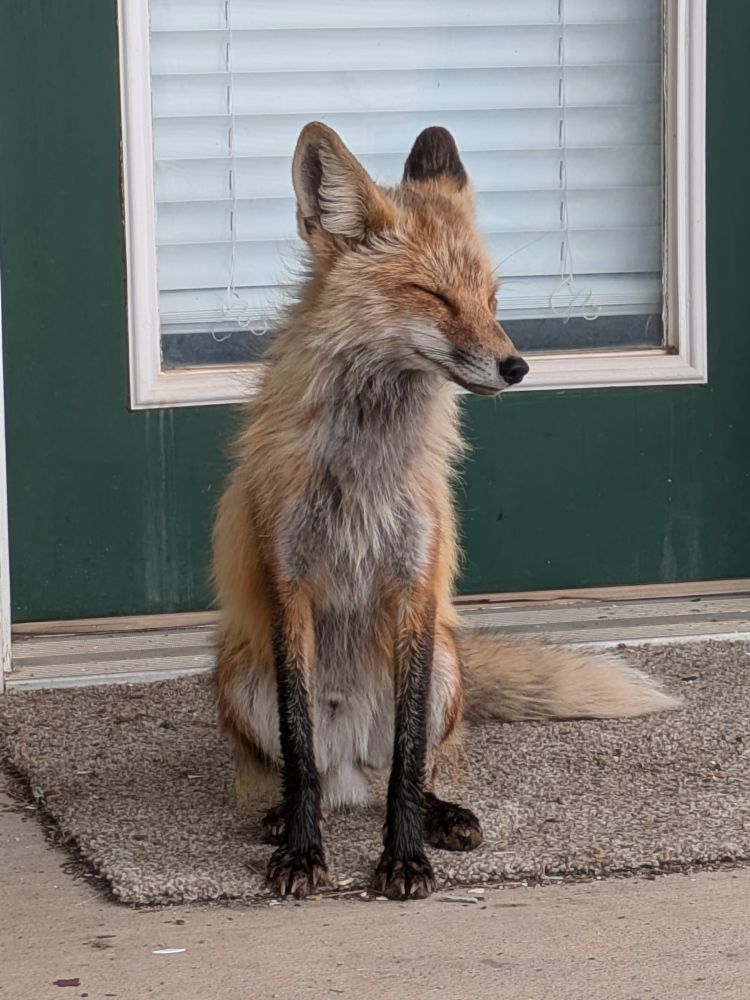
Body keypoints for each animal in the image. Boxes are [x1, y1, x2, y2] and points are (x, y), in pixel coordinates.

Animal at [212, 123, 679, 901]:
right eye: (433, 294)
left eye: (491, 298)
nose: (517, 367)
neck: (365, 468)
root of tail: (352, 776)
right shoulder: (289, 585)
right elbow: (299, 747)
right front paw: (303, 852)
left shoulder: (415, 585)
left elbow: (407, 755)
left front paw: (404, 858)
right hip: (239, 677)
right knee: (307, 768)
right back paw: (285, 815)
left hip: (447, 671)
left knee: (410, 766)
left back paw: (441, 813)